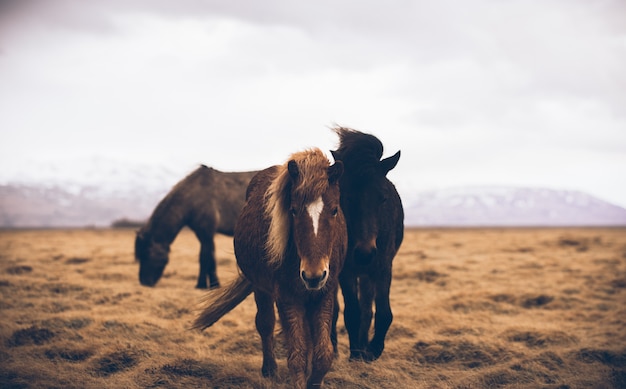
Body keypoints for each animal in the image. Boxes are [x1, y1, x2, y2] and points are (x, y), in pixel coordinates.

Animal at [191, 149, 346, 388]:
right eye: (293, 210)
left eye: (335, 210)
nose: (313, 276)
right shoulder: (287, 297)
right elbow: (297, 355)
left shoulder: (325, 293)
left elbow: (323, 354)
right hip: (261, 288)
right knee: (265, 324)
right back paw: (269, 369)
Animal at [330, 128, 402, 360]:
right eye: (347, 198)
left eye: (383, 198)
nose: (364, 253)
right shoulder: (346, 271)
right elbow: (351, 313)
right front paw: (355, 353)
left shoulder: (383, 266)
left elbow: (382, 313)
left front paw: (372, 350)